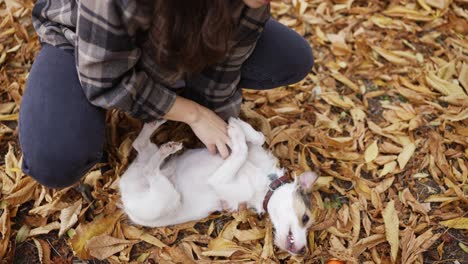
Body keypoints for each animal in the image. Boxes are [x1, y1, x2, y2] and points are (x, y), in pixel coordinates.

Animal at [119, 117, 320, 254]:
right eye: (306, 218)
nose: (302, 251)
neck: (267, 182)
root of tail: (124, 193)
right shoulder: (251, 154)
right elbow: (259, 139)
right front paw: (239, 127)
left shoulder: (220, 181)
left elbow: (242, 151)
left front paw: (237, 133)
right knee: (141, 148)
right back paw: (157, 132)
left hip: (163, 198)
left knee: (147, 162)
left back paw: (164, 147)